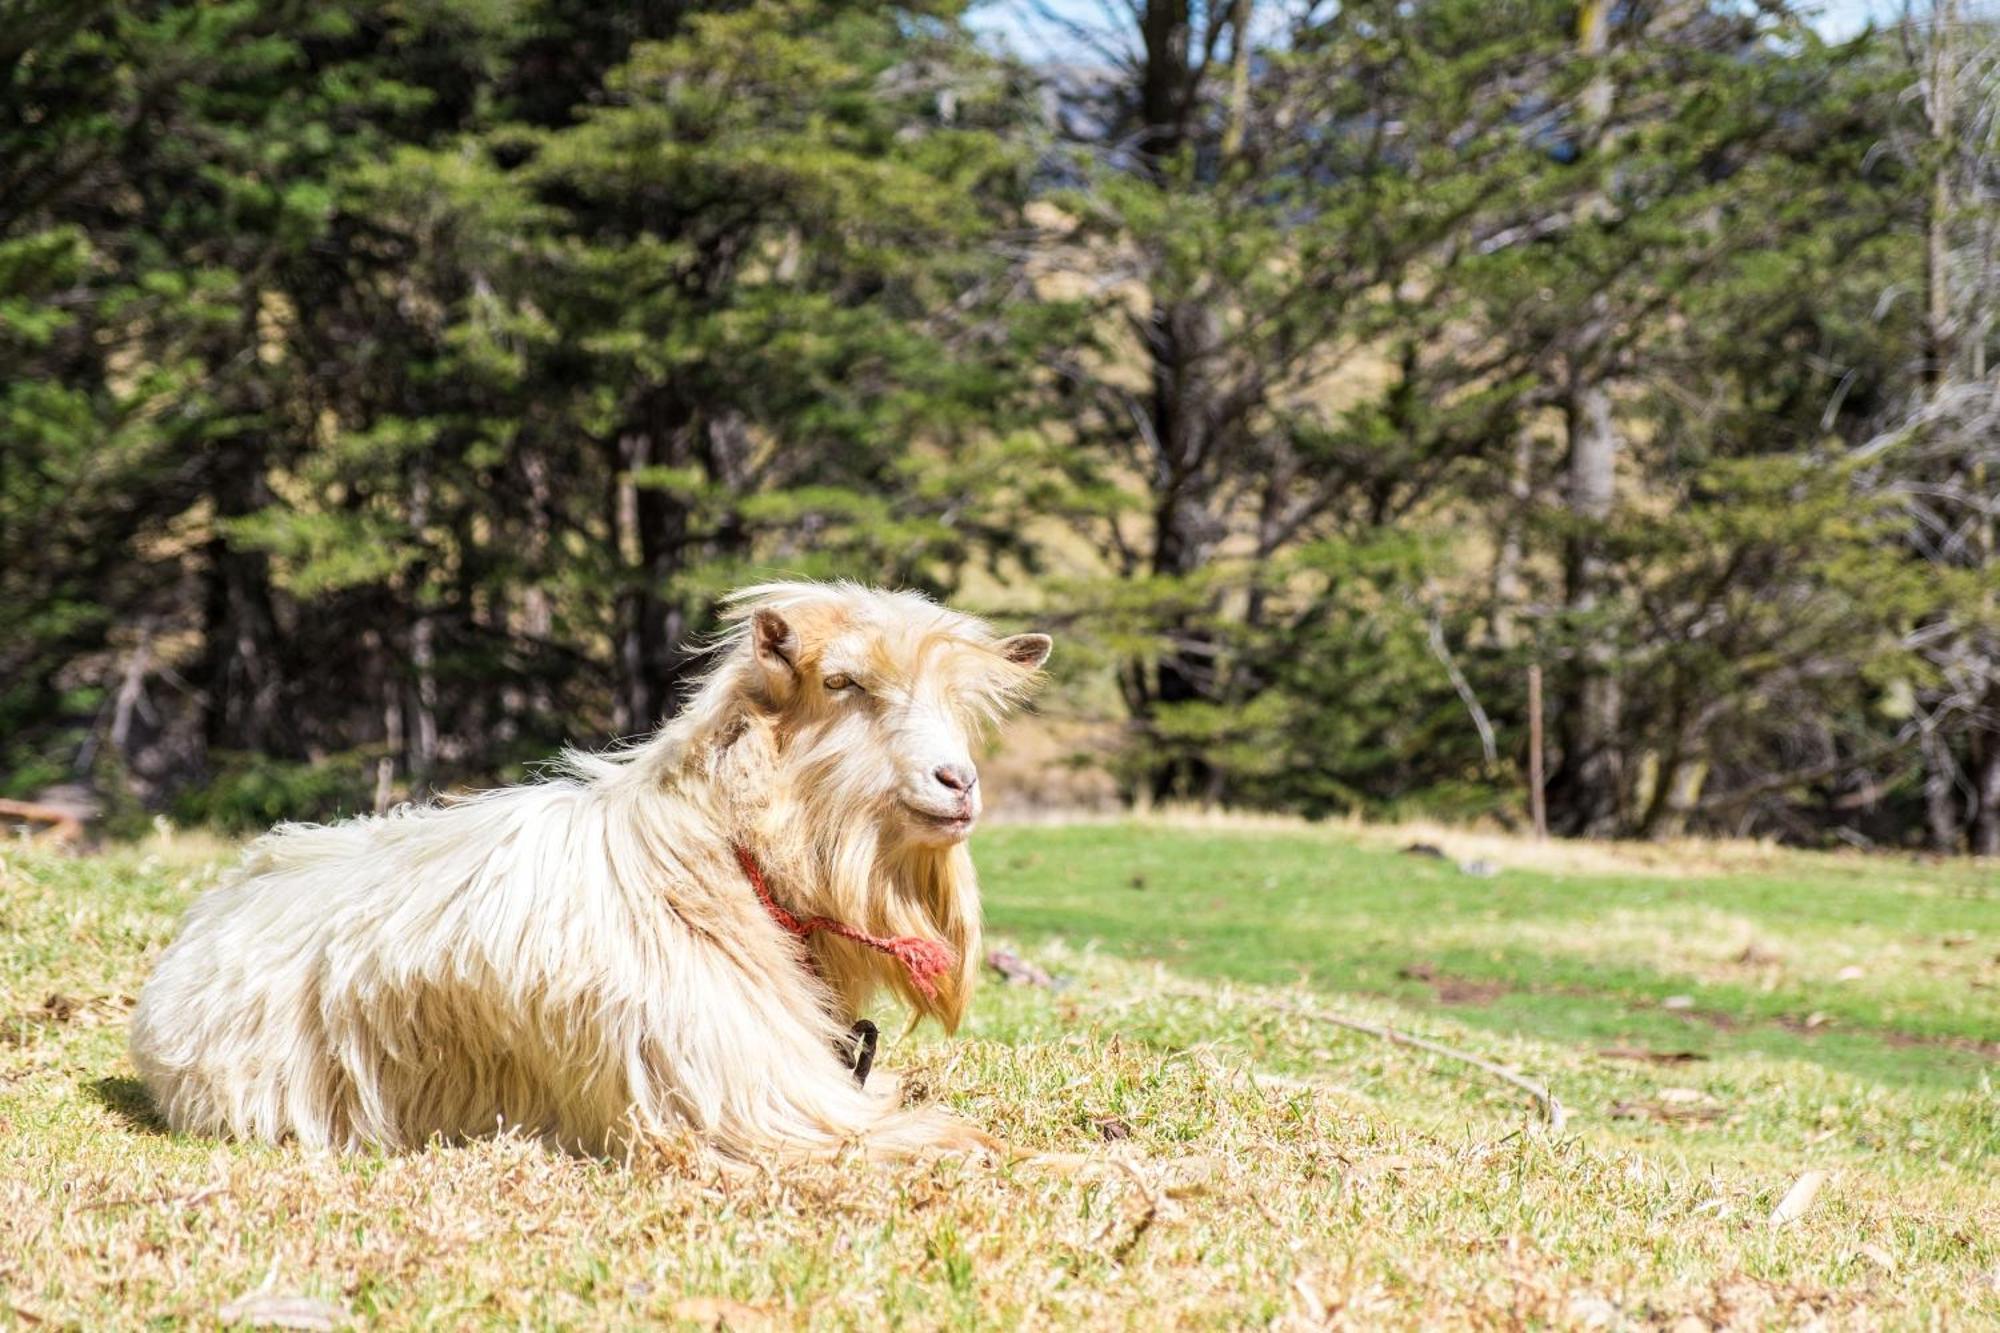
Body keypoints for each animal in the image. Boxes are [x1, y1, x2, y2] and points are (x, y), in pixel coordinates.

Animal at [131, 580, 1056, 1152]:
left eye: (959, 703)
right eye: (842, 681)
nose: (958, 781)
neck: (712, 861)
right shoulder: (755, 1105)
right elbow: (974, 1142)